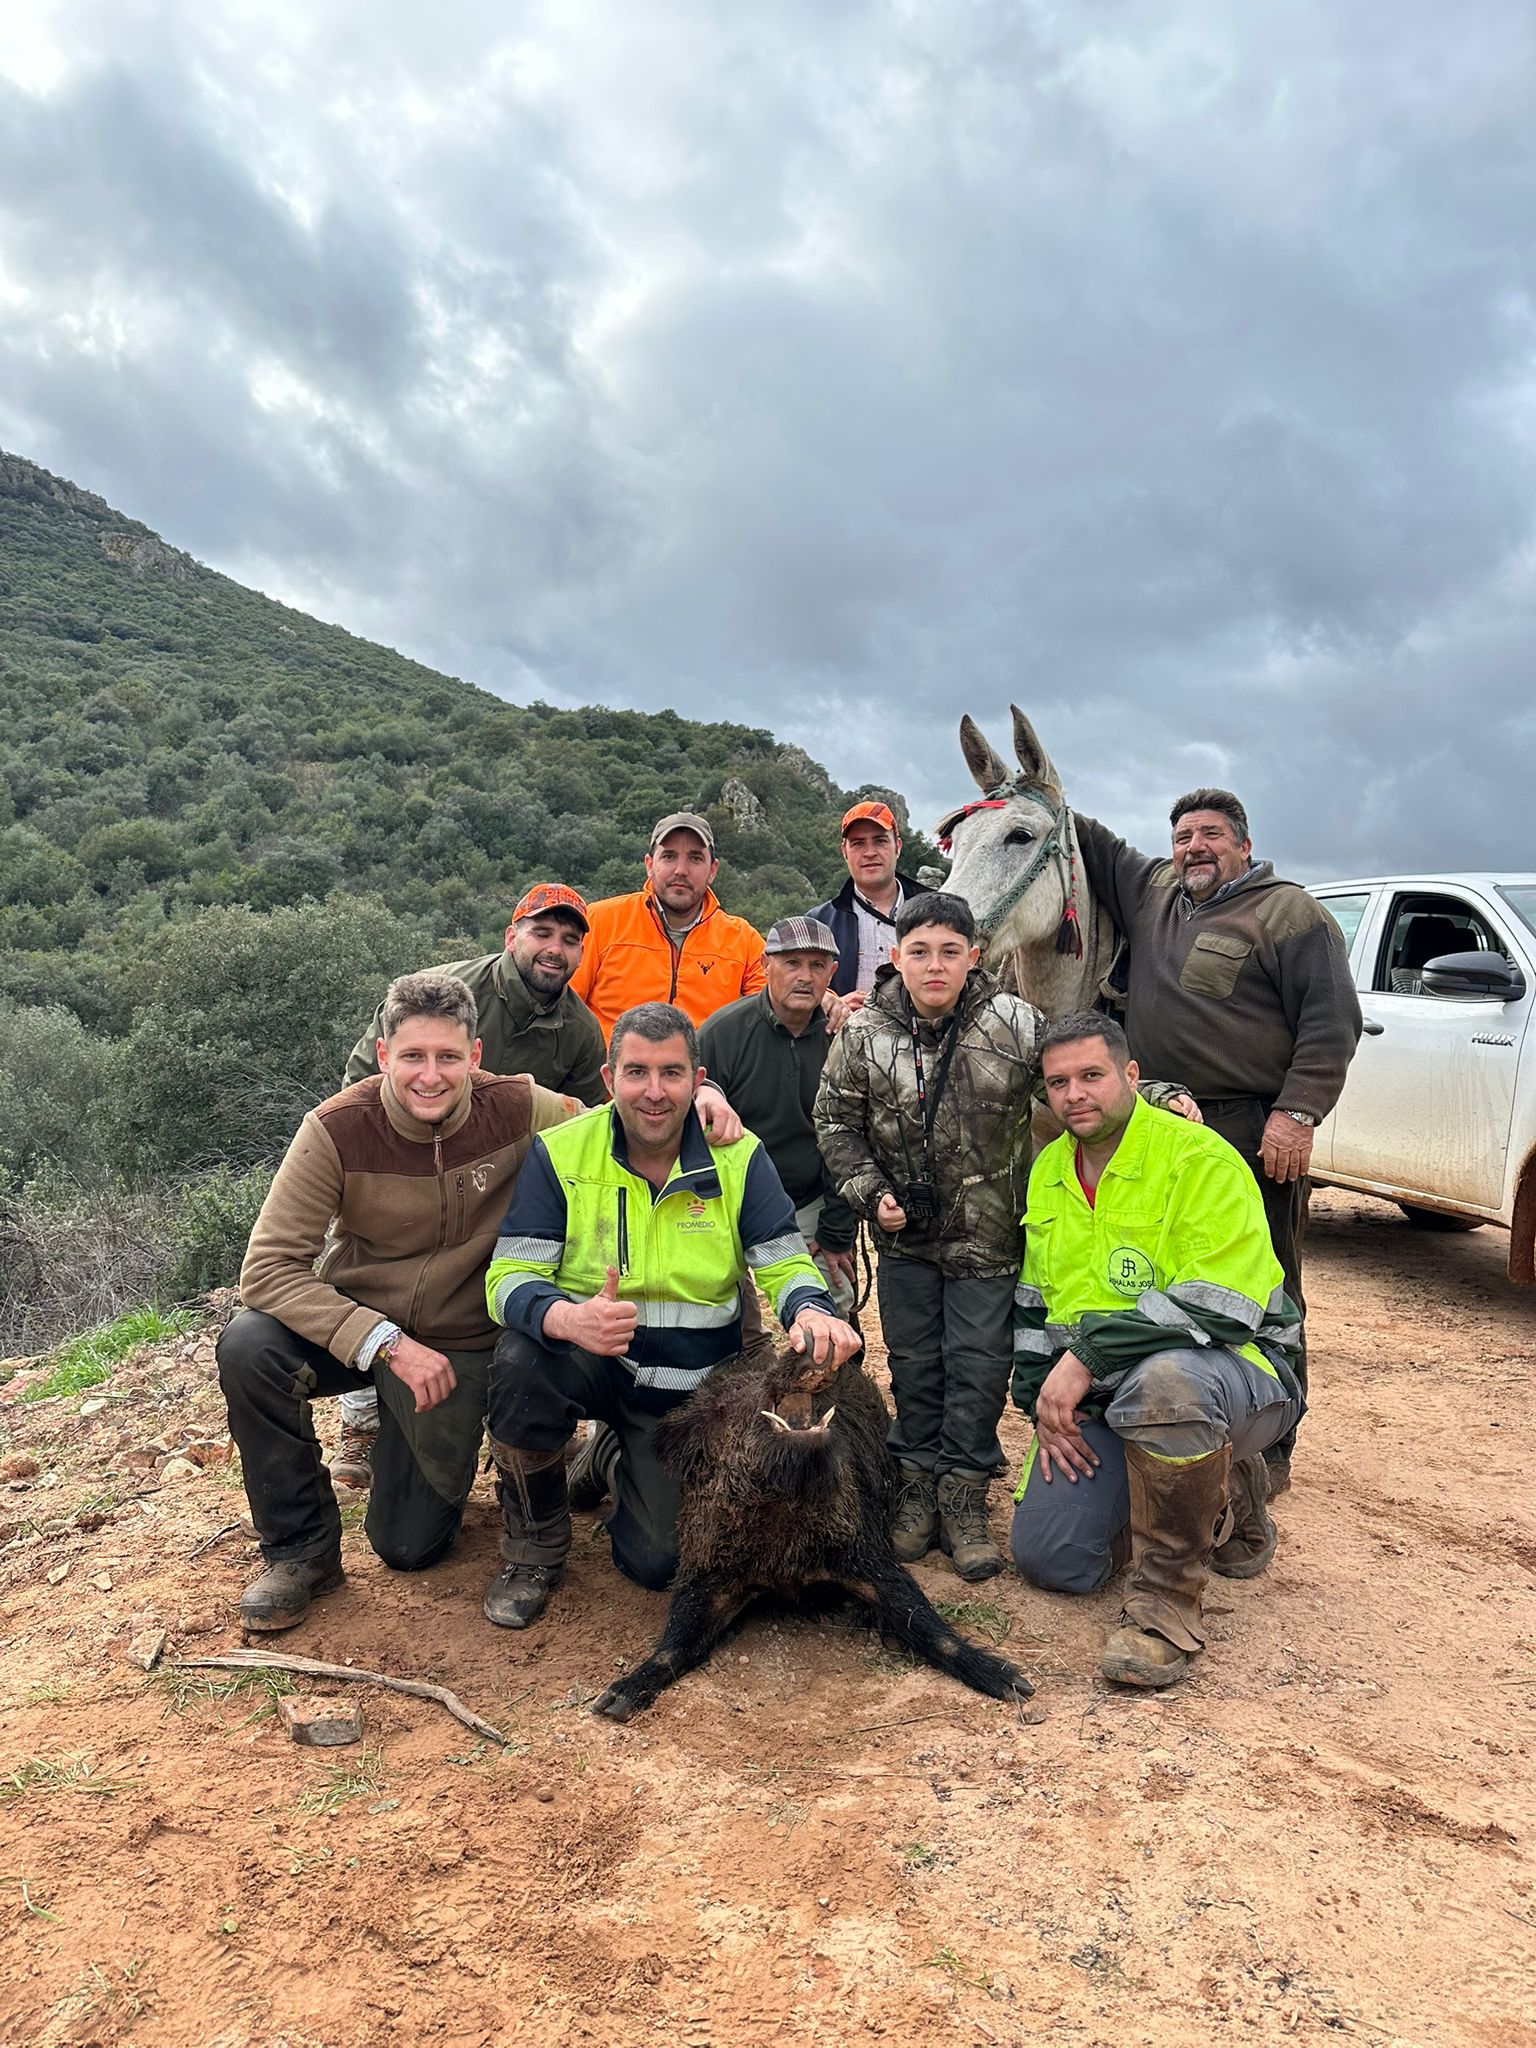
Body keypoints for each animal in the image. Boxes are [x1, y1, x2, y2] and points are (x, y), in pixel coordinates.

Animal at [590, 1346, 1033, 1722]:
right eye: (723, 1404)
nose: (808, 1345)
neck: (783, 1553)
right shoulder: (708, 1568)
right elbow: (677, 1640)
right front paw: (611, 1703)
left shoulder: (865, 1554)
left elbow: (925, 1623)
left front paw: (1018, 1685)